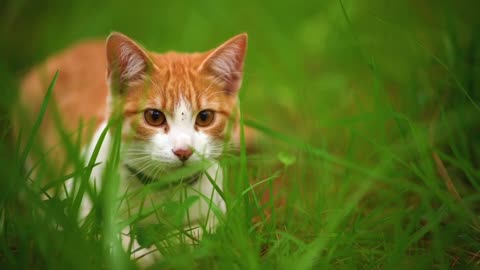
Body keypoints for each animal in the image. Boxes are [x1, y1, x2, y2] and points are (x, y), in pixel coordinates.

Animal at [16, 31, 248, 264]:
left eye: (205, 117)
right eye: (154, 116)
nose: (183, 151)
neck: (162, 190)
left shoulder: (218, 209)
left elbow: (202, 233)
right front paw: (139, 253)